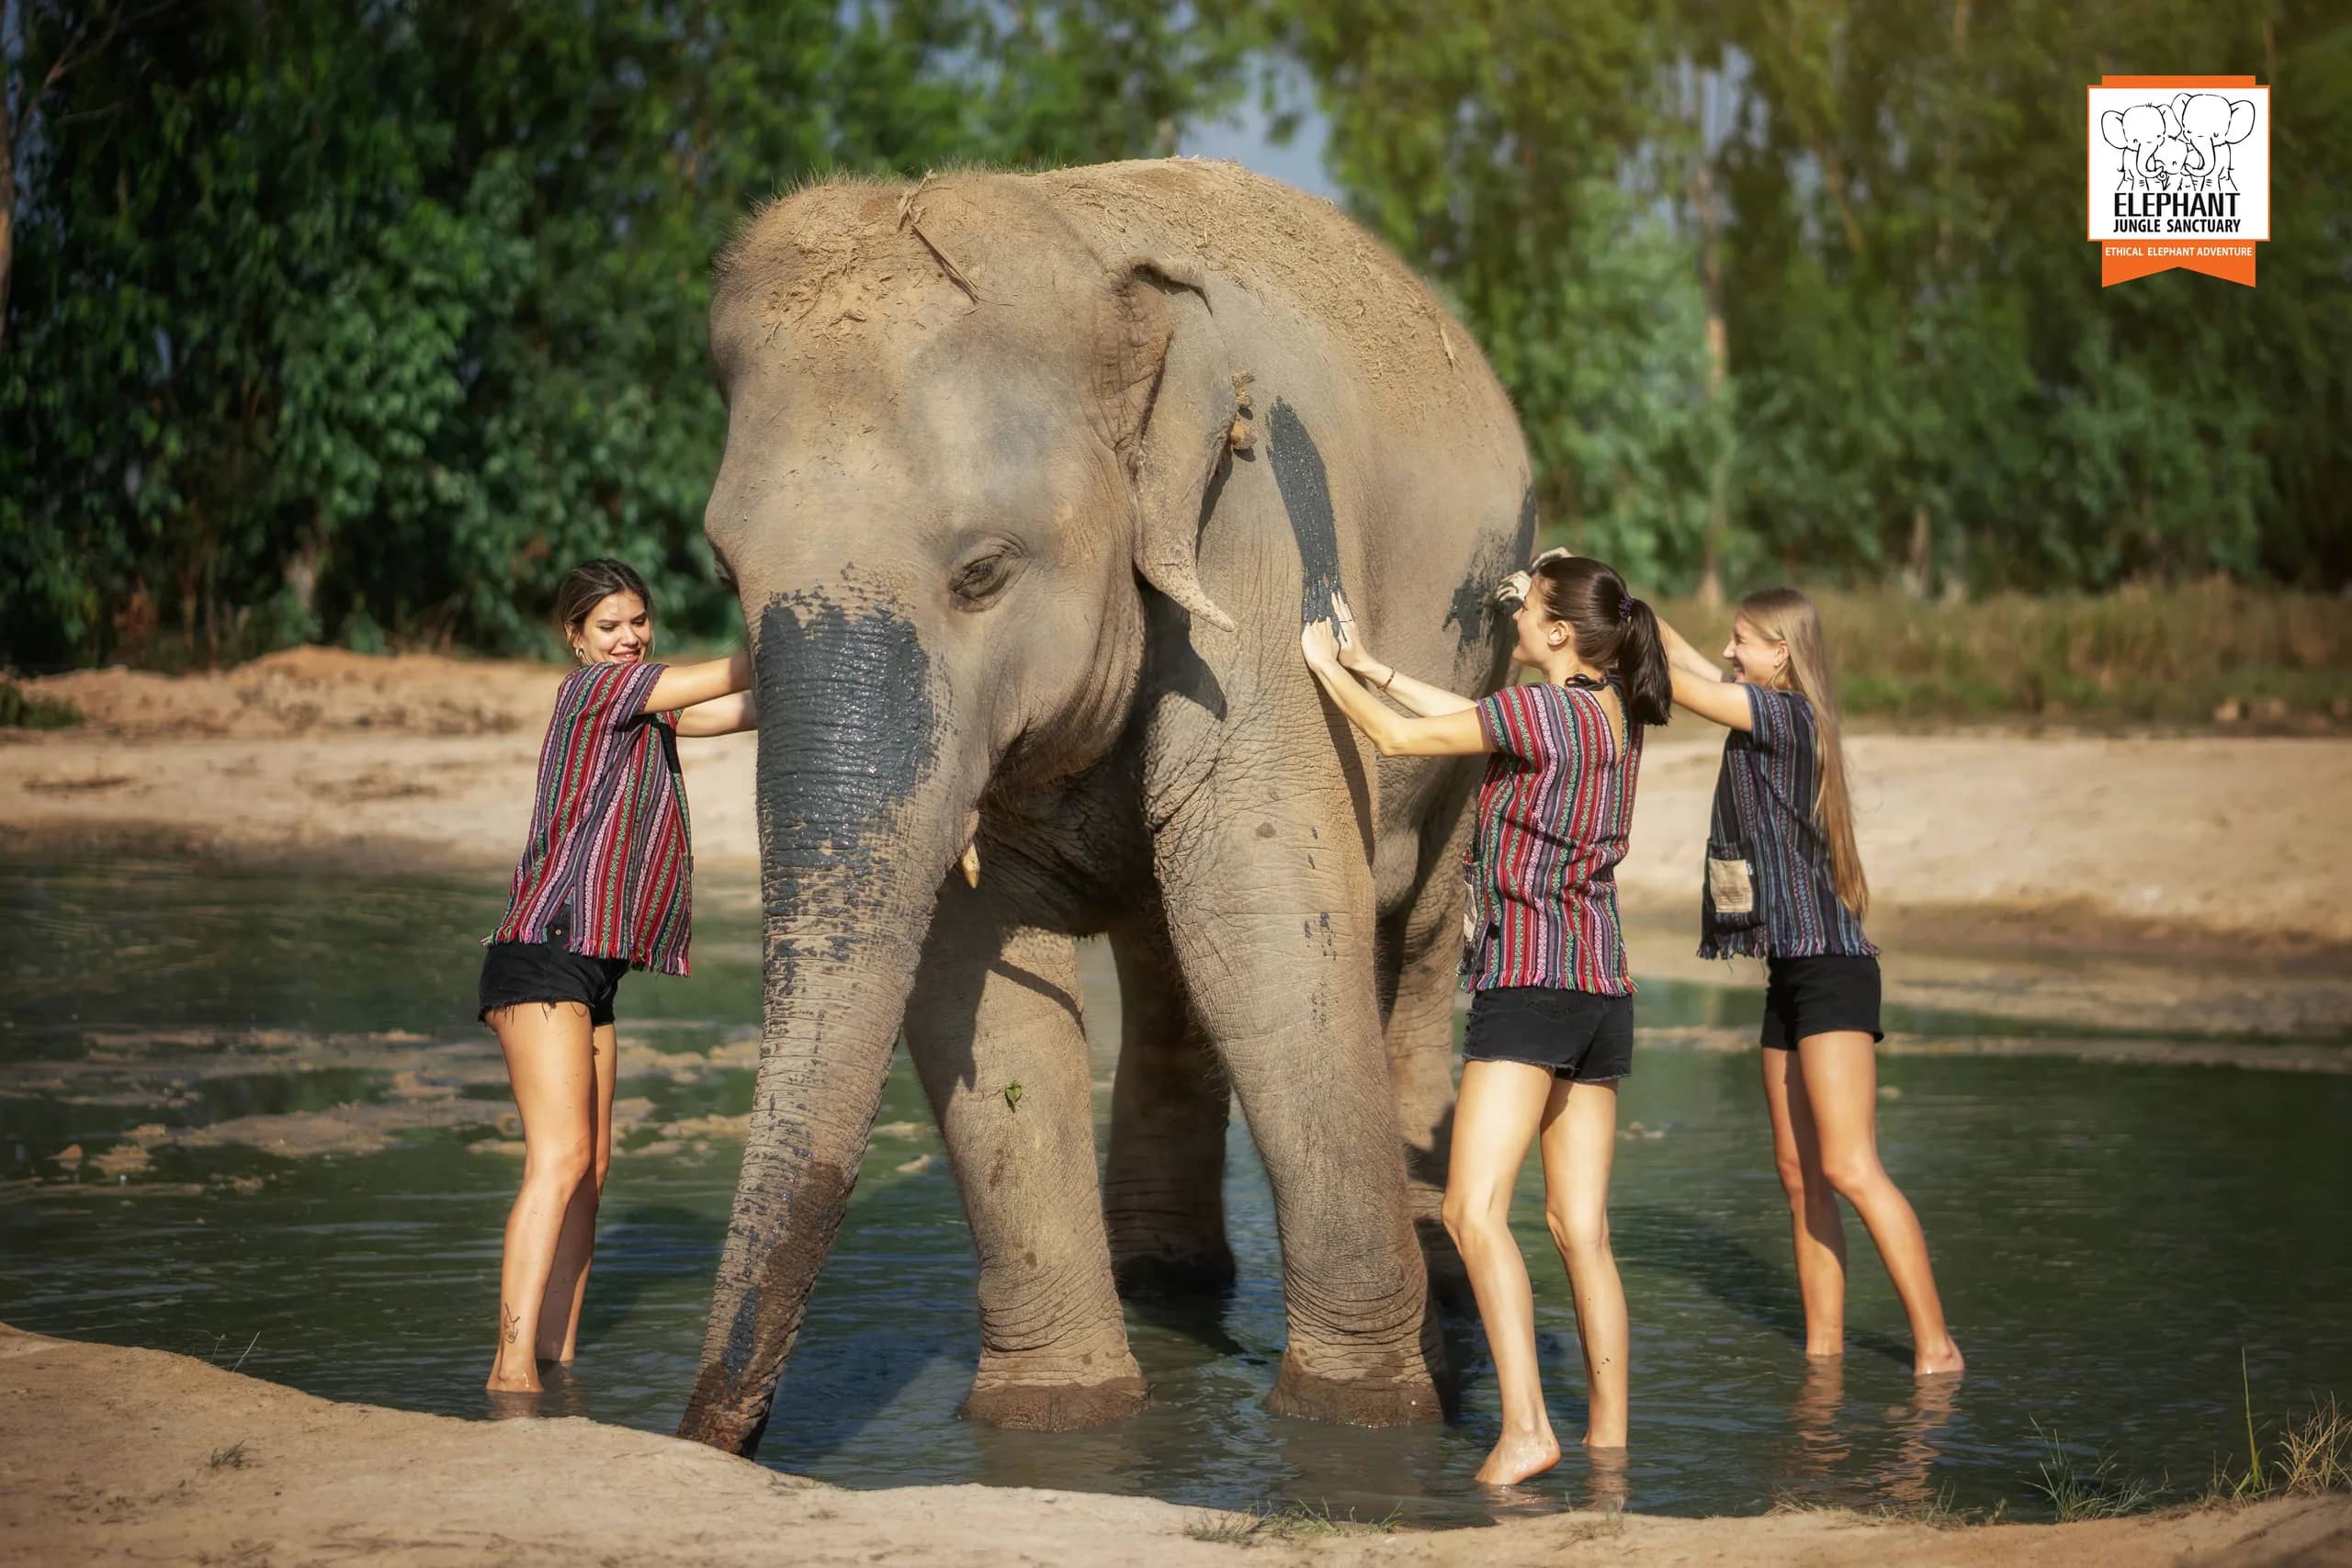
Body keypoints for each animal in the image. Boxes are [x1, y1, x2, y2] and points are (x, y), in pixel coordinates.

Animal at [676, 158, 1534, 1455]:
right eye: (729, 575)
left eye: (983, 573)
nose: (708, 1432)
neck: (1087, 256)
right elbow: (973, 975)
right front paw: (1060, 1416)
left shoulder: (1251, 540)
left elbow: (1266, 929)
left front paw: (1359, 1423)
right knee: (1166, 960)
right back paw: (1166, 1279)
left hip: (1471, 692)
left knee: (1416, 939)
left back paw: (1437, 1289)